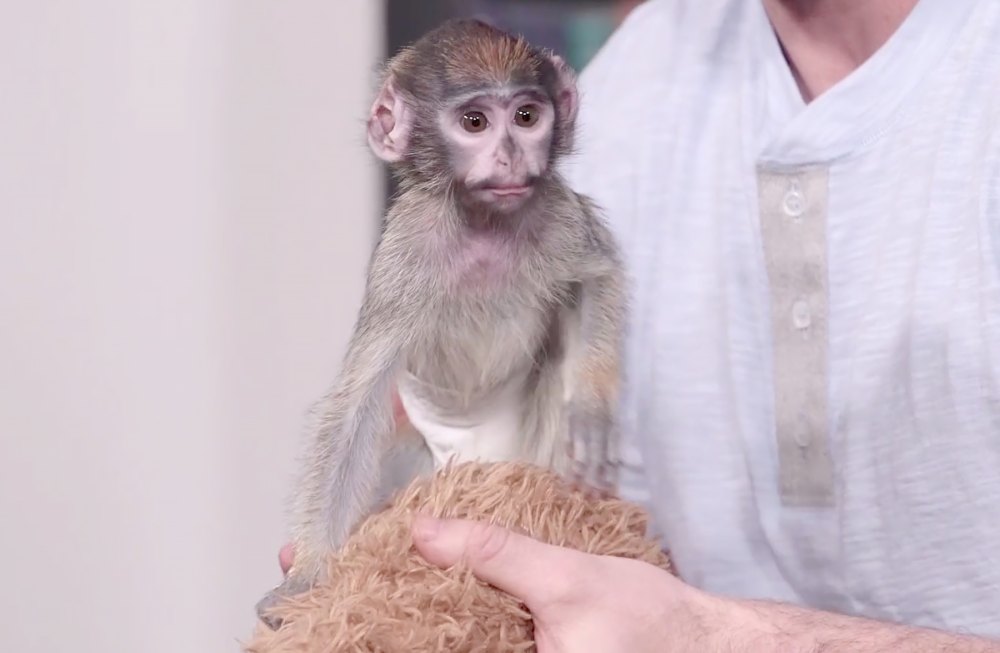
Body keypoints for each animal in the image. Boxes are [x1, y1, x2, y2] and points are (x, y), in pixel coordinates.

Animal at [255, 18, 628, 628]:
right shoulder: (407, 249)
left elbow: (600, 277)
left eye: (527, 116)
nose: (510, 157)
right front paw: (306, 577)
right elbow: (355, 404)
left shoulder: (556, 214)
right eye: (475, 122)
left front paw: (593, 414)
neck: (484, 226)